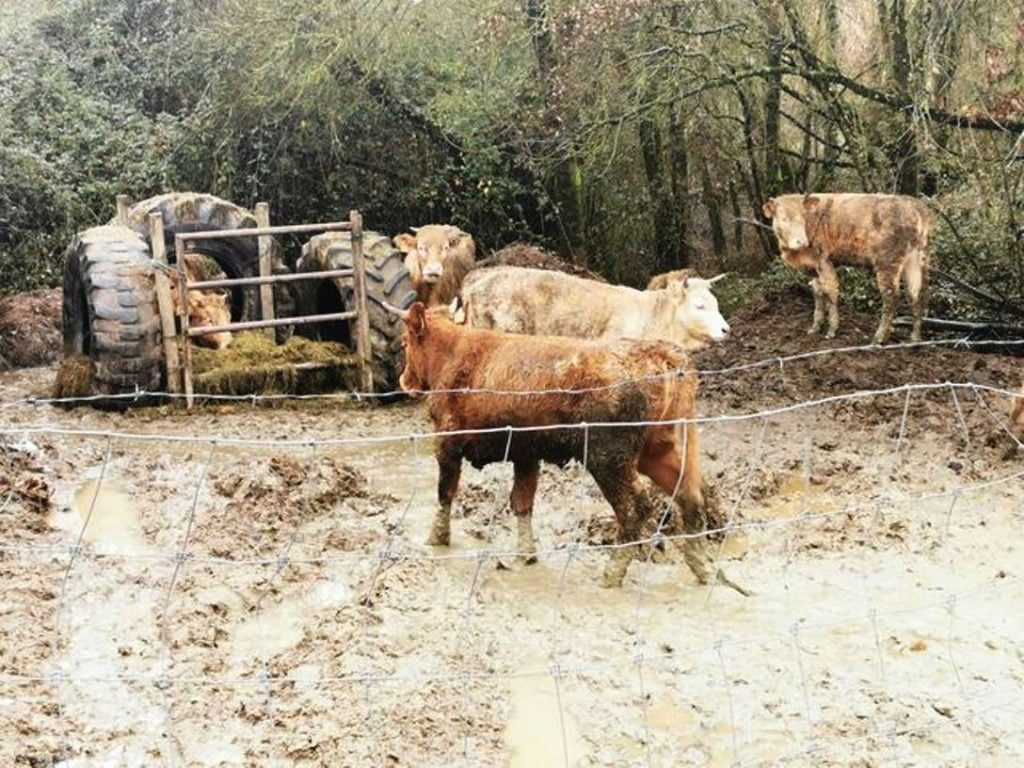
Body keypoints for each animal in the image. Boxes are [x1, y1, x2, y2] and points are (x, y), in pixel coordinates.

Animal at [396, 301, 748, 594]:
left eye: (404, 342)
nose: (404, 381)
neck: (458, 353)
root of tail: (658, 354)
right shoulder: (526, 454)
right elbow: (521, 502)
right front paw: (526, 554)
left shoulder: (447, 442)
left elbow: (445, 494)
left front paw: (436, 540)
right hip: (657, 451)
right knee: (690, 494)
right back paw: (702, 566)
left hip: (608, 458)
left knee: (635, 506)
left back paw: (612, 573)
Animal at [761, 193, 934, 344]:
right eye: (783, 218)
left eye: (803, 217)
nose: (802, 241)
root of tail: (916, 205)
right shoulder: (813, 268)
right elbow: (818, 294)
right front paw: (815, 327)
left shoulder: (824, 260)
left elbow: (830, 292)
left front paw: (832, 330)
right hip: (918, 258)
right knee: (917, 293)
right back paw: (915, 338)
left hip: (887, 262)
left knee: (891, 296)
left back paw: (879, 338)